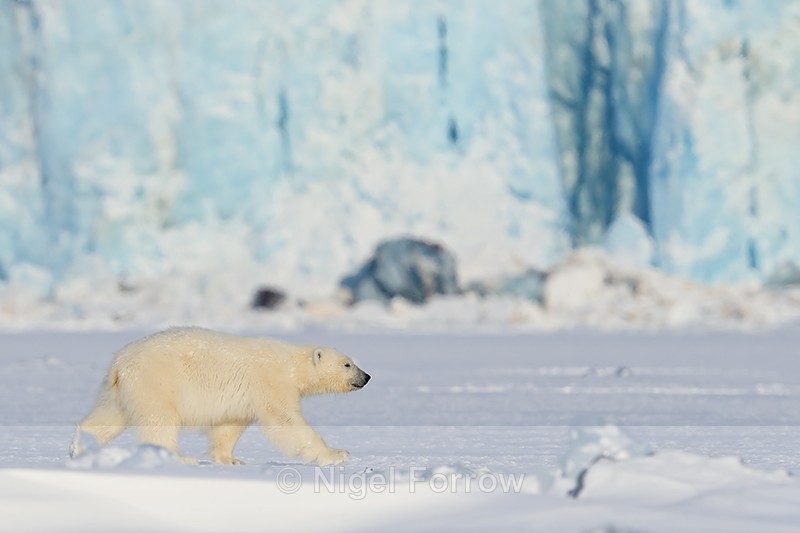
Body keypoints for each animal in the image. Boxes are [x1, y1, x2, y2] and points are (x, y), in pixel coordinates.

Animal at [70, 327, 370, 466]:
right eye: (347, 364)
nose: (366, 377)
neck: (291, 363)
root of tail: (119, 362)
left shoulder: (244, 395)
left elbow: (229, 425)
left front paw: (230, 459)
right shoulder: (270, 381)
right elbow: (286, 420)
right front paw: (336, 454)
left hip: (123, 389)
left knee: (109, 415)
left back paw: (78, 447)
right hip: (154, 381)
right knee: (159, 420)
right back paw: (179, 458)